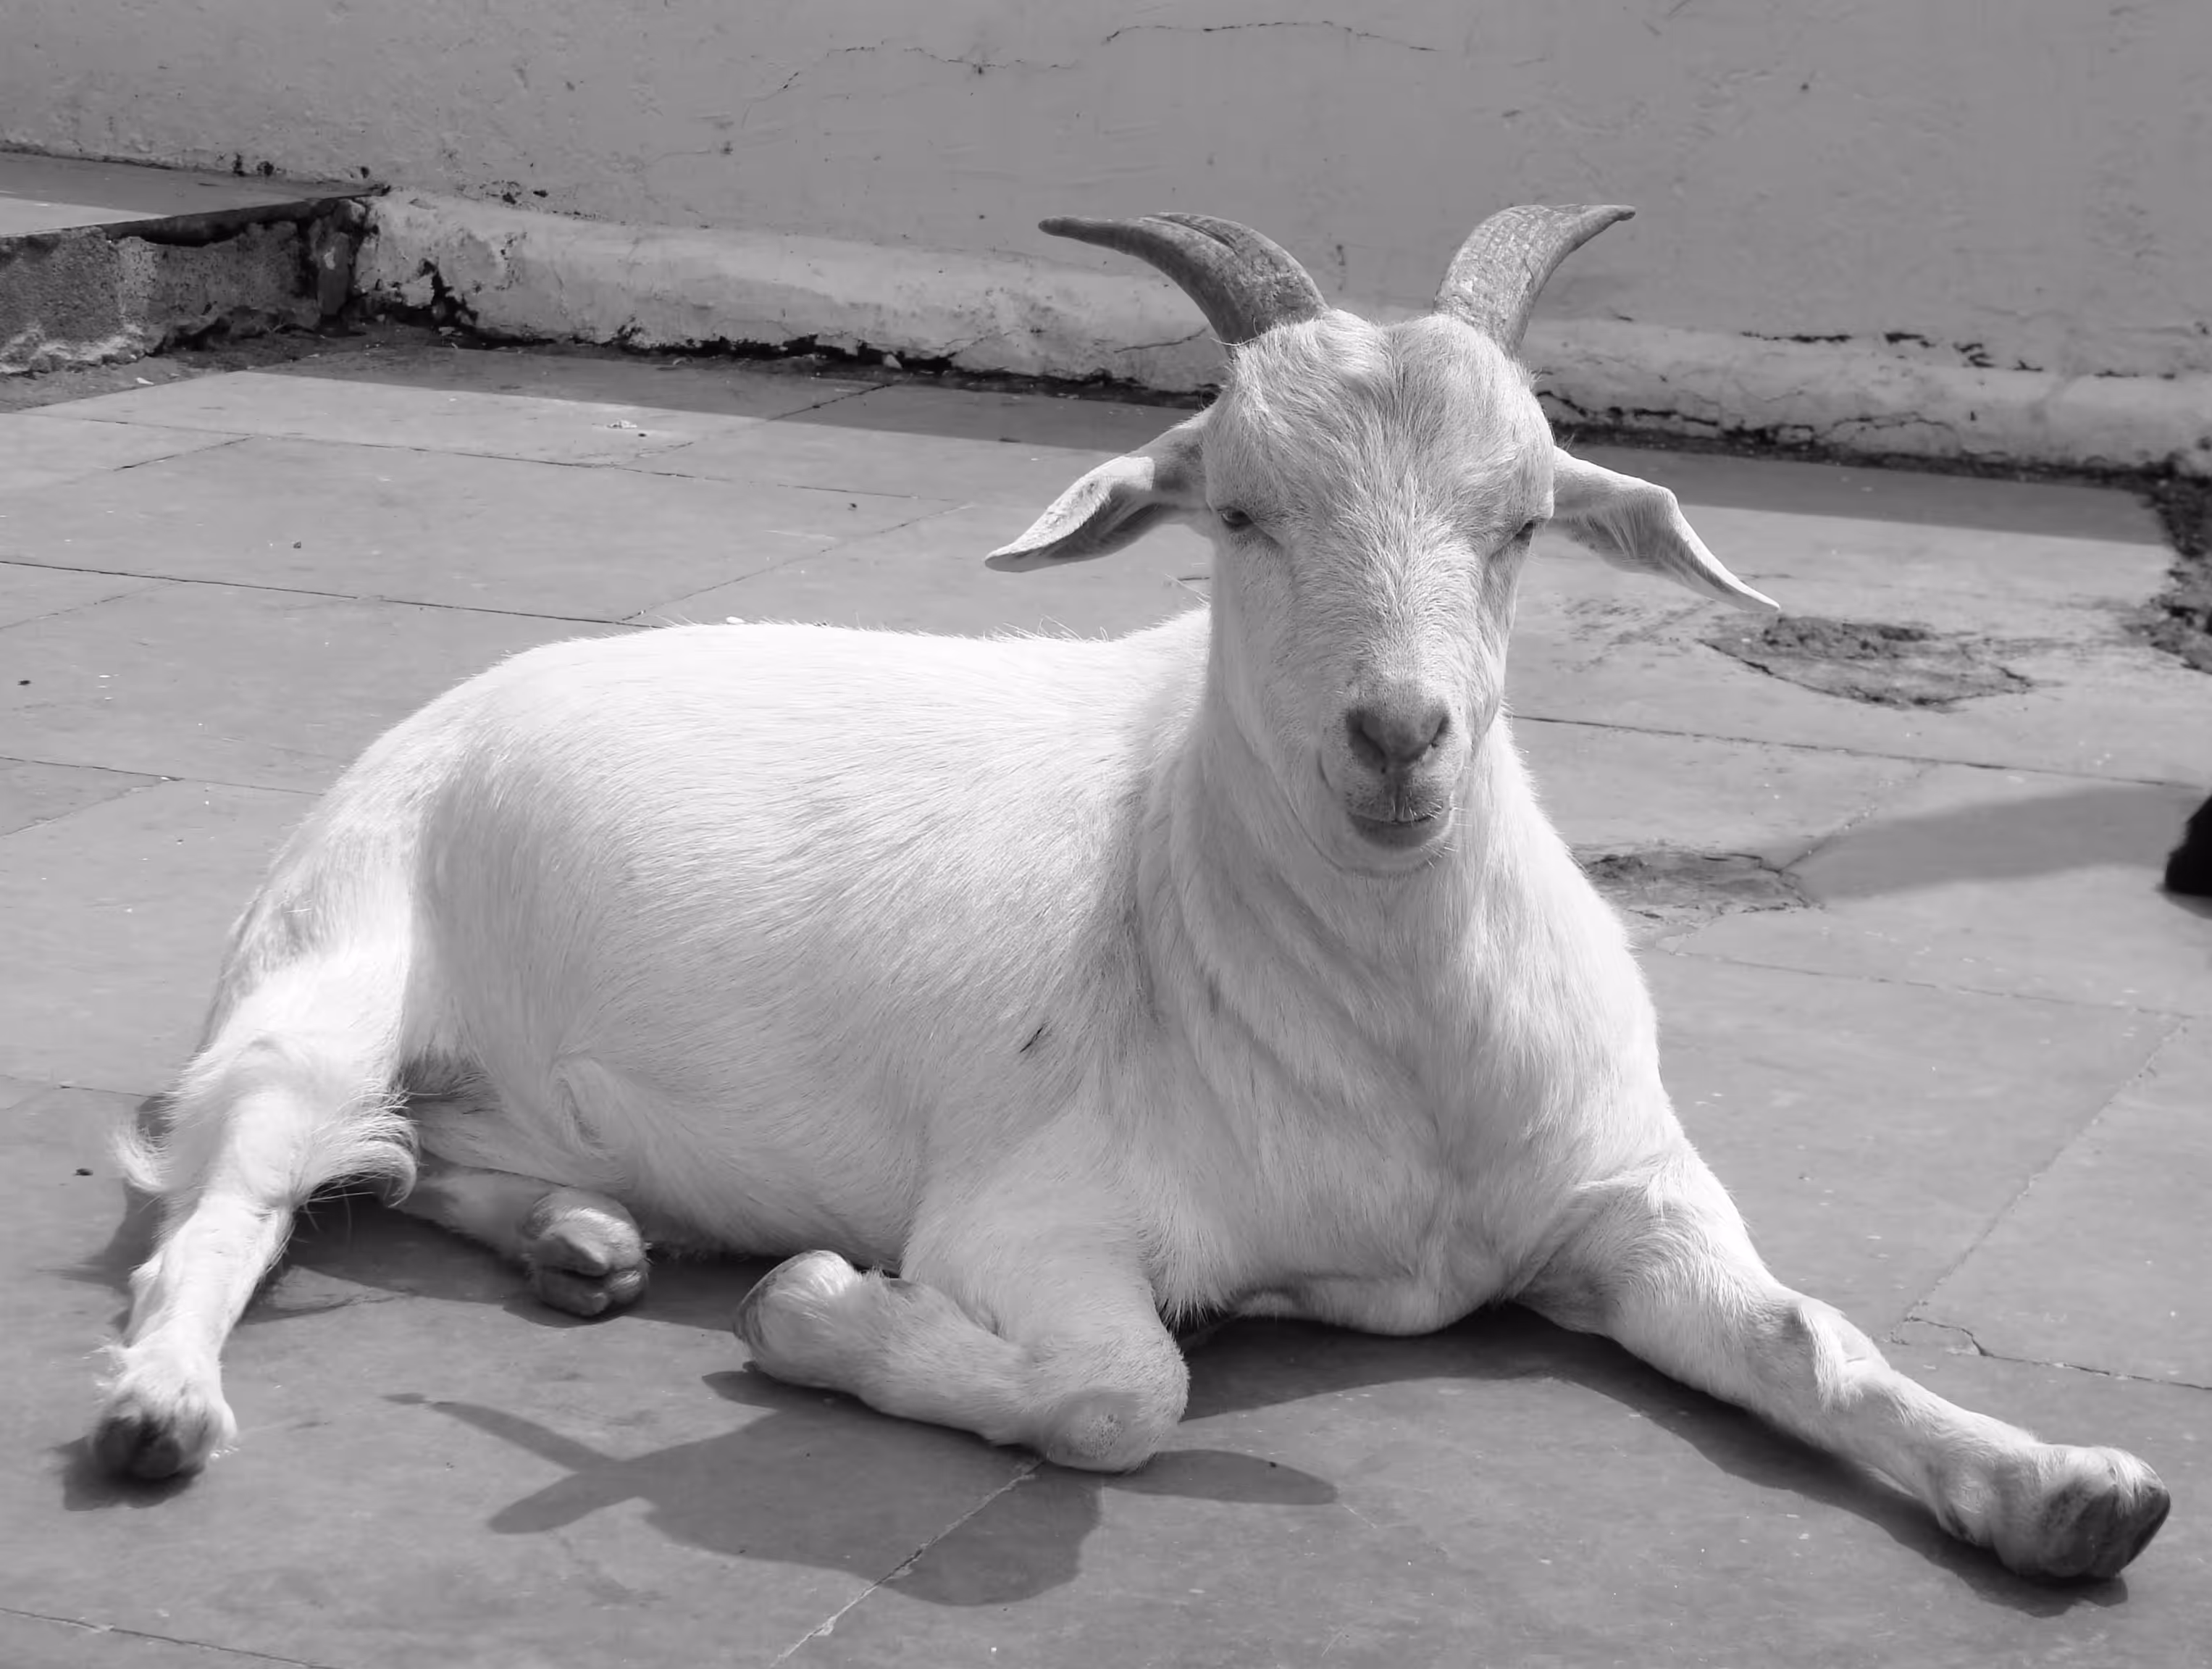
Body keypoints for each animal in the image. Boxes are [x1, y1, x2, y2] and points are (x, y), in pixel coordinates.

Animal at [93, 206, 2169, 1582]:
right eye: (1237, 512)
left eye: (1521, 524)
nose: (1398, 739)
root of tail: (450, 712)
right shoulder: (1032, 1215)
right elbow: (1123, 1395)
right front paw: (815, 1314)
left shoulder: (1622, 1199)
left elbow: (1808, 1338)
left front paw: (2065, 1488)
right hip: (322, 982)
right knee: (231, 1204)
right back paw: (159, 1410)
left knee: (406, 1168)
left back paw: (581, 1241)